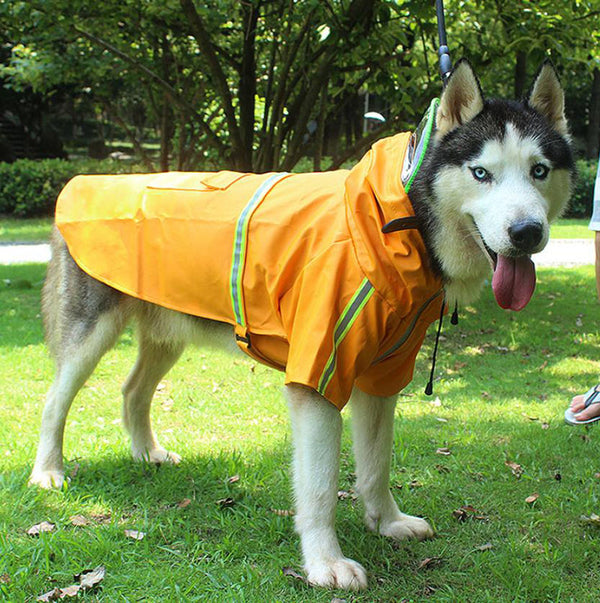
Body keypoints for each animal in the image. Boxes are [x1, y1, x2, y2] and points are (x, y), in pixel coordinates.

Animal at [31, 61, 572, 588]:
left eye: (539, 171)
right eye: (481, 173)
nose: (527, 232)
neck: (399, 219)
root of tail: (82, 183)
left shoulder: (381, 377)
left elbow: (375, 466)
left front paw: (387, 522)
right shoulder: (317, 380)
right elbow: (319, 487)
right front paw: (324, 563)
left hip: (168, 333)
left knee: (132, 391)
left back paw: (147, 453)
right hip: (90, 336)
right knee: (55, 400)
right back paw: (48, 473)